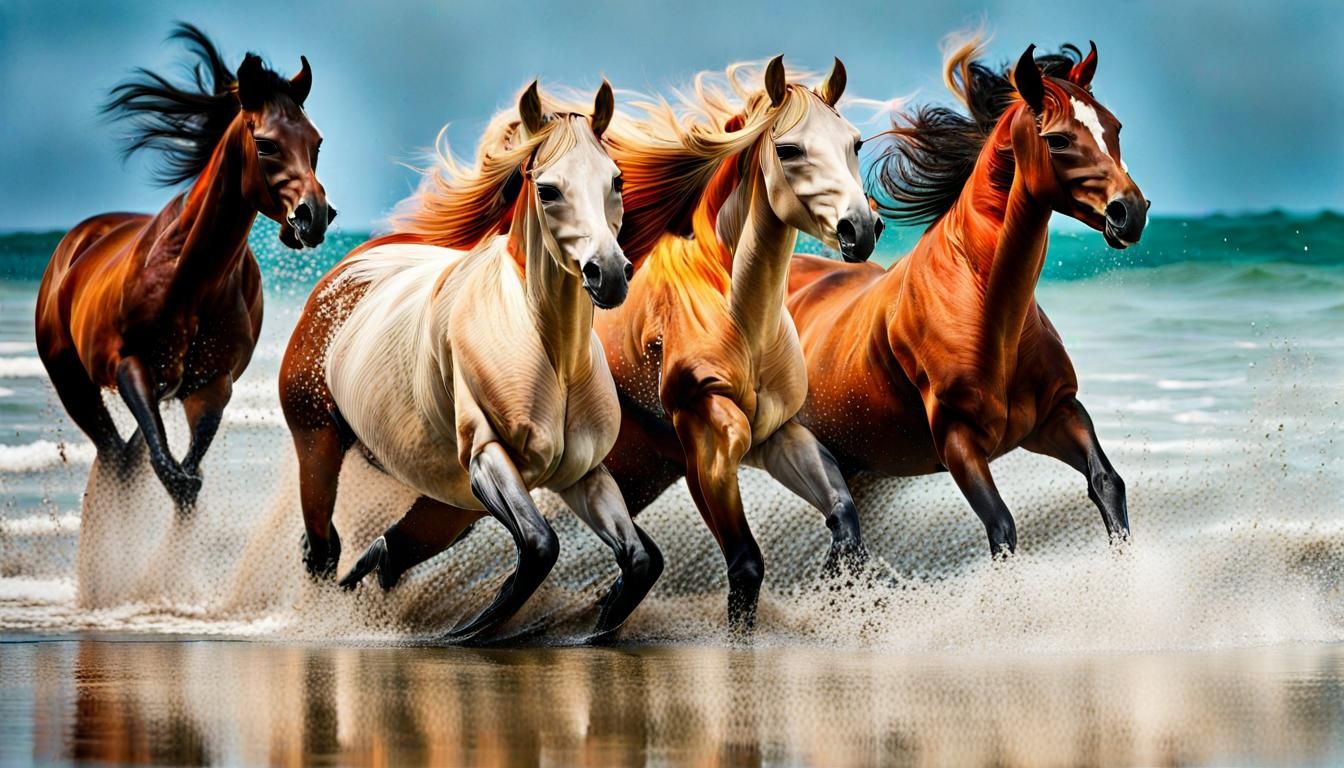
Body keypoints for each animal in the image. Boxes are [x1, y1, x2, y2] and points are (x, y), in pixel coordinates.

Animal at [34, 24, 332, 512]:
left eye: (317, 142)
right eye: (266, 143)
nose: (315, 217)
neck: (191, 279)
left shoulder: (209, 386)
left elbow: (185, 475)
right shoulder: (130, 366)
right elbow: (171, 471)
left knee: (128, 459)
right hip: (74, 383)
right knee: (115, 458)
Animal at [279, 82, 662, 641]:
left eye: (616, 179)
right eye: (548, 190)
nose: (608, 273)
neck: (552, 358)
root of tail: (348, 266)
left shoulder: (583, 473)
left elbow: (638, 562)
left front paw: (598, 631)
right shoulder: (486, 454)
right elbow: (540, 546)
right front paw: (470, 633)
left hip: (434, 489)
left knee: (388, 551)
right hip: (319, 443)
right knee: (325, 548)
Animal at [594, 57, 884, 630]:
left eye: (855, 142)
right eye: (789, 149)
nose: (860, 229)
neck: (739, 317)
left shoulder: (776, 434)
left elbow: (845, 521)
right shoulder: (710, 439)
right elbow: (746, 566)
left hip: (639, 468)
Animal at [786, 40, 1148, 557]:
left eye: (1114, 127)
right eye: (1058, 139)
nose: (1130, 212)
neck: (985, 309)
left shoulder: (1058, 414)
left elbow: (1107, 484)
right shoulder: (959, 441)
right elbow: (1001, 527)